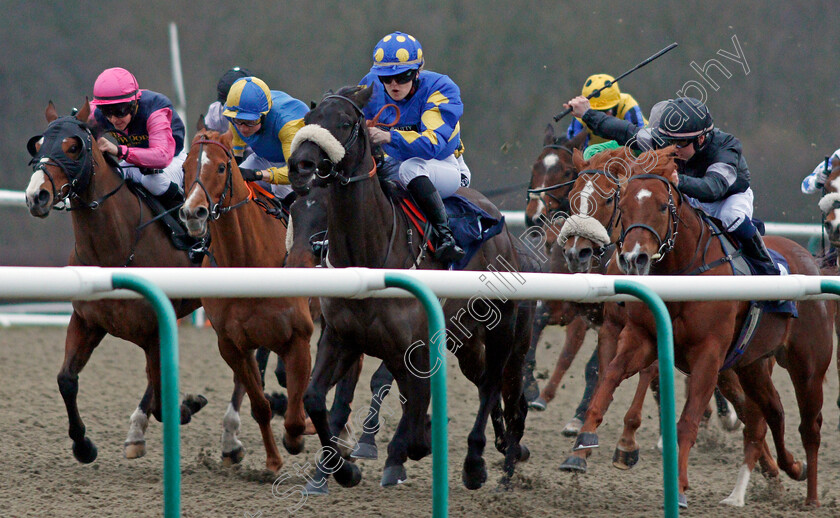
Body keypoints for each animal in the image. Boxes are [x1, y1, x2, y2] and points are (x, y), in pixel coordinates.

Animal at [23, 99, 207, 466]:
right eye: (38, 145)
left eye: (73, 147)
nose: (37, 196)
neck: (116, 247)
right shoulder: (87, 321)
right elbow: (66, 379)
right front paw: (83, 445)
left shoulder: (153, 331)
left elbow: (162, 398)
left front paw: (185, 407)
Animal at [180, 126, 316, 476]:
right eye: (184, 167)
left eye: (221, 167)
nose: (192, 213)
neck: (247, 259)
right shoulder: (232, 345)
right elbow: (260, 405)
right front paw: (272, 461)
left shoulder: (298, 337)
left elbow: (296, 418)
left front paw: (301, 432)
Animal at [288, 86, 536, 496]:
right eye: (308, 121)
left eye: (344, 123)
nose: (301, 166)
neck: (369, 255)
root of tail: (503, 231)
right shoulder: (342, 338)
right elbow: (315, 398)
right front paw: (342, 470)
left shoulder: (412, 346)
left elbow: (415, 401)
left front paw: (403, 451)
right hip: (465, 342)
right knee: (488, 384)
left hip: (501, 331)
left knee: (490, 386)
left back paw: (476, 463)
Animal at [568, 152, 832, 510]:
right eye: (622, 203)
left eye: (662, 207)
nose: (634, 258)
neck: (684, 269)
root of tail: (809, 260)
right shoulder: (637, 336)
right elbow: (608, 377)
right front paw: (583, 442)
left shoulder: (708, 354)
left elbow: (687, 421)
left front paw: (676, 486)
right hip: (751, 364)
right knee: (772, 411)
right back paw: (789, 467)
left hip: (807, 366)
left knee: (810, 426)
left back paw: (811, 496)